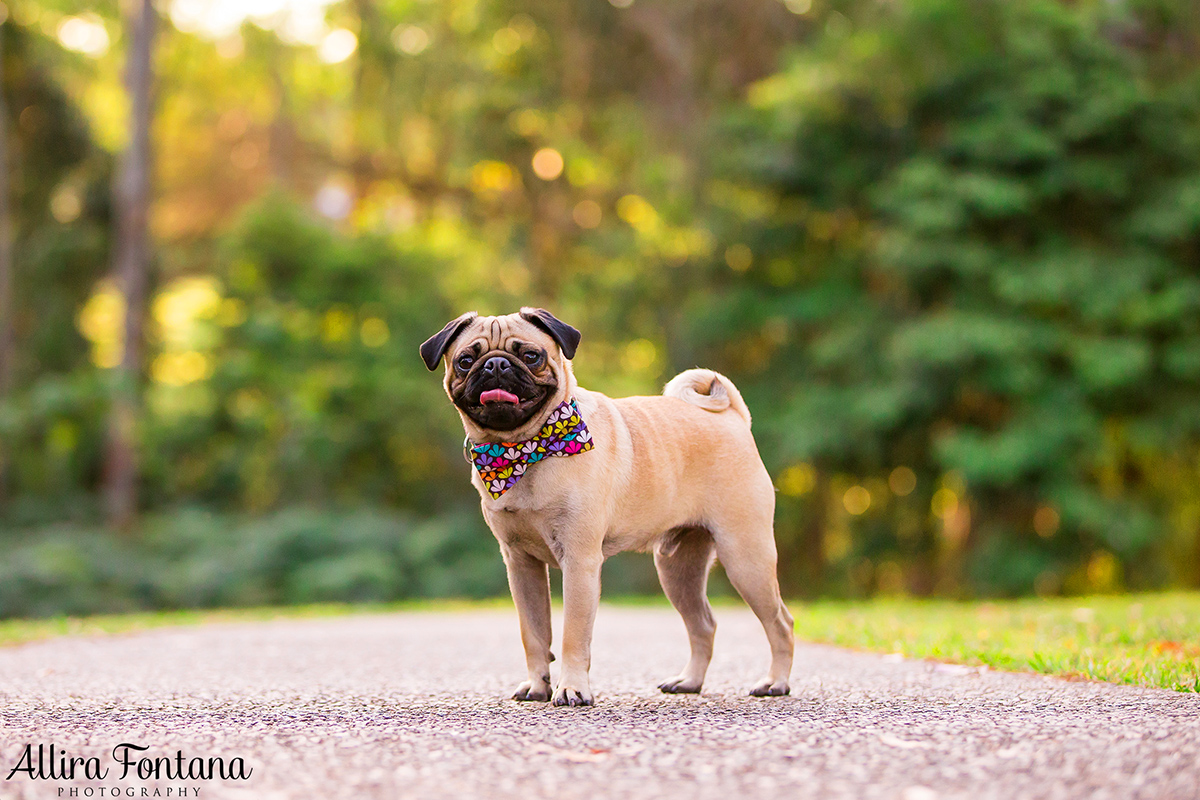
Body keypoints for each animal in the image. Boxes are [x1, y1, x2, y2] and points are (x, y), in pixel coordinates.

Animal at [417, 309, 792, 705]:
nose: (496, 364)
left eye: (531, 356)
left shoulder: (579, 561)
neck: (522, 450)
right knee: (703, 624)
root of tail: (732, 418)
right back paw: (689, 681)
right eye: (466, 361)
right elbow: (533, 633)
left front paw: (571, 688)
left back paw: (775, 683)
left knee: (780, 622)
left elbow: (573, 634)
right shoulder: (521, 565)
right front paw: (537, 685)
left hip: (745, 556)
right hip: (678, 569)